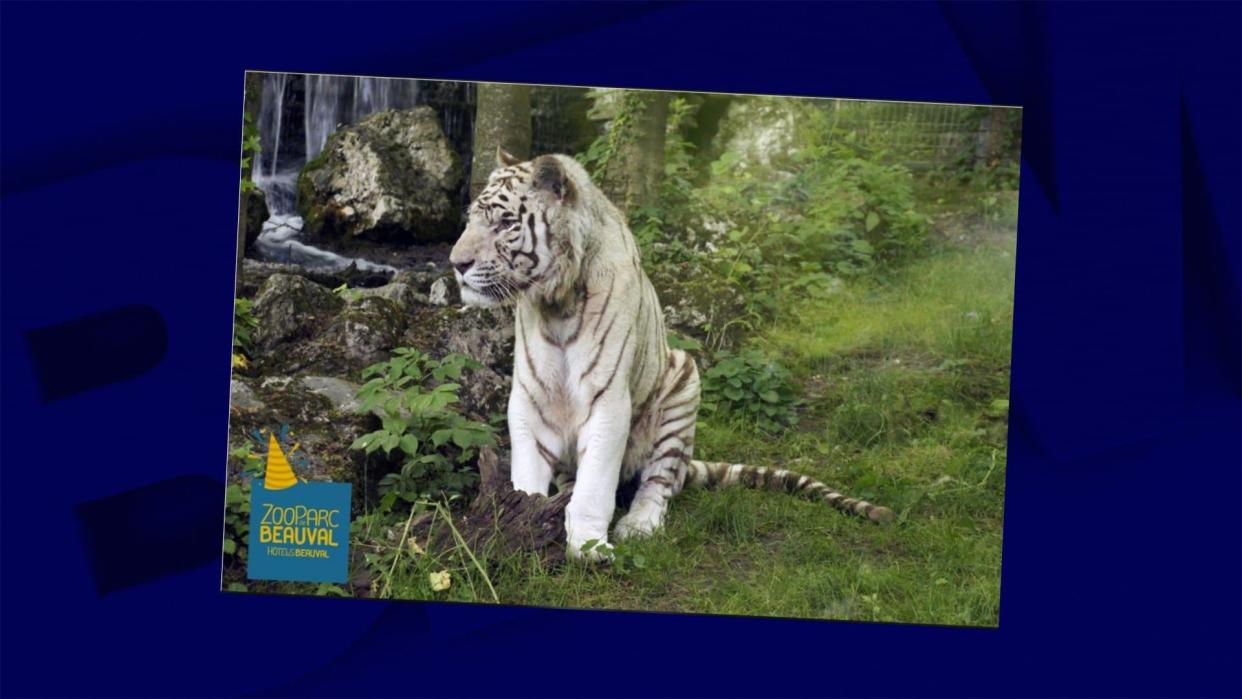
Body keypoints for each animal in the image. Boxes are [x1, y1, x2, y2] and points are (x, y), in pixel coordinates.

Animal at [447, 150, 894, 561]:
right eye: (471, 219)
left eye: (505, 223)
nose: (456, 264)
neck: (556, 303)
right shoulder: (529, 396)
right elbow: (526, 473)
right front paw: (516, 522)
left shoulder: (608, 398)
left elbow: (597, 483)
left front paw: (589, 546)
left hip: (683, 380)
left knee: (660, 482)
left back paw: (639, 522)